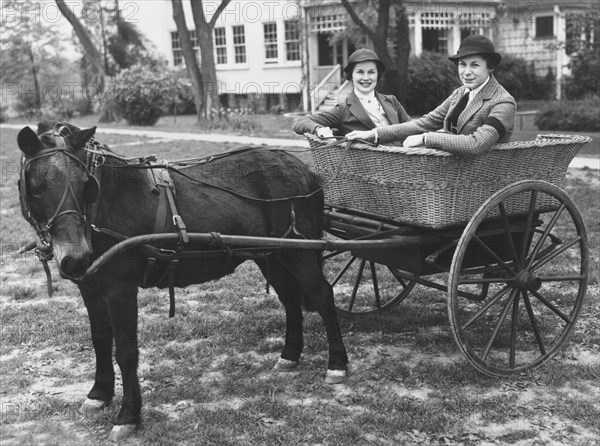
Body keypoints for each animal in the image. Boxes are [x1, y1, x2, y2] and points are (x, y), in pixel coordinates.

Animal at [16, 123, 350, 442]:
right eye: (36, 189)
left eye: (85, 186)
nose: (75, 258)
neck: (104, 205)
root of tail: (302, 169)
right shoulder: (91, 289)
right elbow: (99, 340)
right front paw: (99, 394)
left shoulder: (120, 290)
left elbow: (125, 351)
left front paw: (128, 416)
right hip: (273, 256)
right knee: (291, 299)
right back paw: (289, 356)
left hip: (298, 254)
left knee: (322, 296)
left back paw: (337, 363)